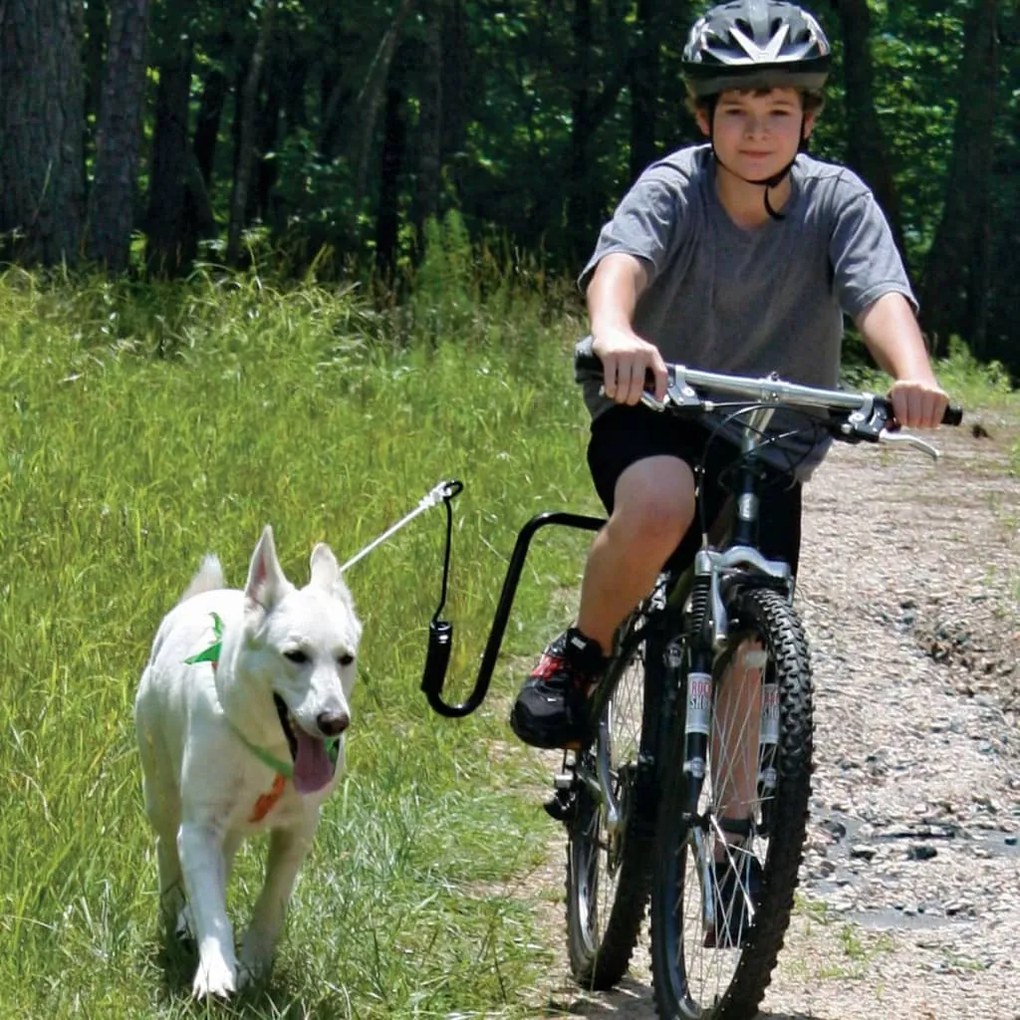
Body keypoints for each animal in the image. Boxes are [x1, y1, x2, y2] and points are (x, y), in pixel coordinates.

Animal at [133, 526, 361, 995]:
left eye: (345, 658)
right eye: (295, 655)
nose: (334, 721)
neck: (269, 748)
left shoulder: (298, 829)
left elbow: (272, 899)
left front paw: (253, 964)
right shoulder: (198, 827)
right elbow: (211, 906)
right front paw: (216, 971)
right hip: (161, 792)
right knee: (169, 851)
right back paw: (175, 917)